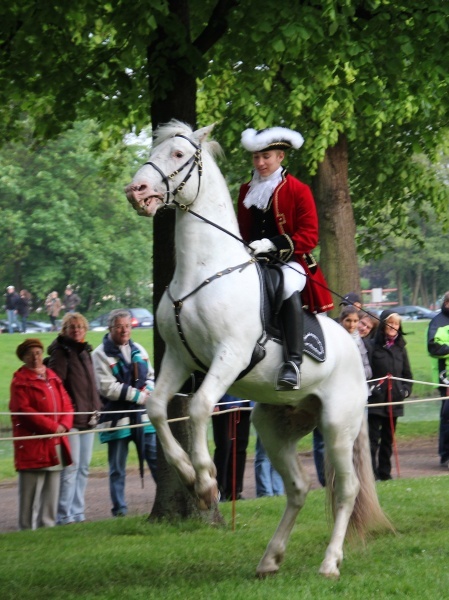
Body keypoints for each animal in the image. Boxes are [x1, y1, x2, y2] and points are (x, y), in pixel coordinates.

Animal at [124, 120, 390, 576]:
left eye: (178, 155)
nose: (136, 191)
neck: (204, 271)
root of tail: (357, 353)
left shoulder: (229, 355)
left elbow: (198, 407)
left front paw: (206, 482)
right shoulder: (179, 356)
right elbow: (157, 408)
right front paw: (188, 475)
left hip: (338, 424)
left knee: (347, 489)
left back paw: (330, 562)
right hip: (275, 425)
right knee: (299, 487)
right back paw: (270, 558)